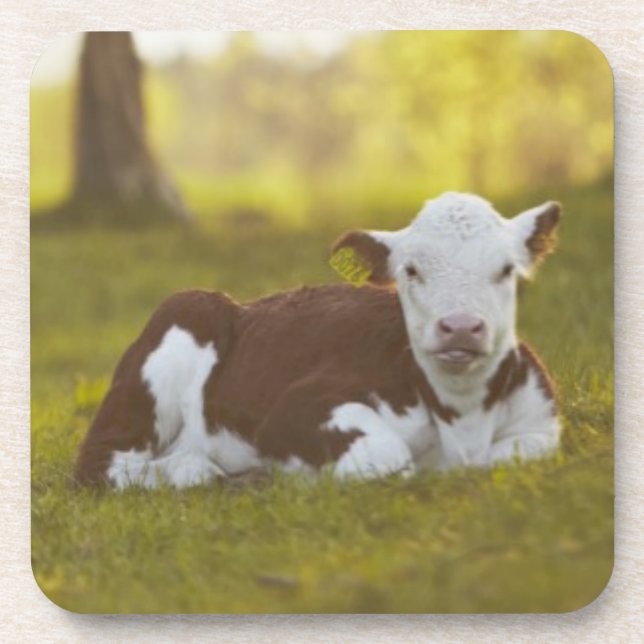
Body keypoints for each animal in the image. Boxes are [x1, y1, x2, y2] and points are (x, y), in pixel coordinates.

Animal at [75, 192, 562, 488]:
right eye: (411, 270)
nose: (460, 326)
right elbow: (387, 457)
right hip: (175, 330)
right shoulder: (295, 408)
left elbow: (519, 453)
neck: (463, 422)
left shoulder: (543, 423)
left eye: (506, 269)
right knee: (105, 463)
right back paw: (204, 470)